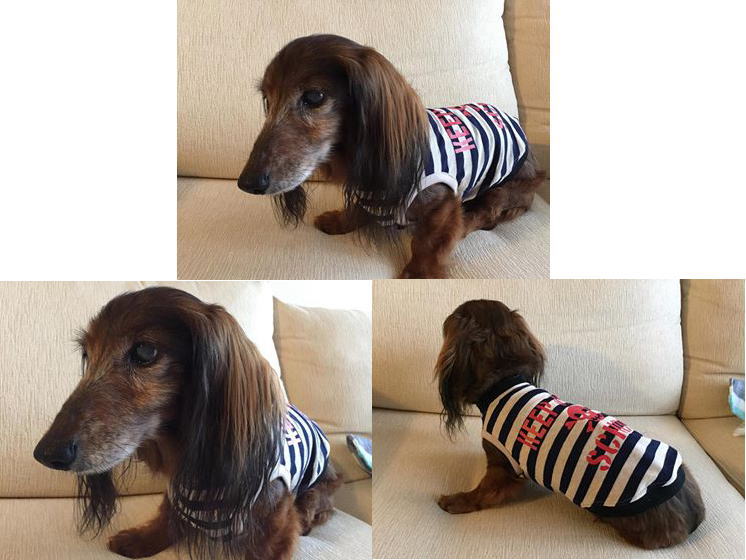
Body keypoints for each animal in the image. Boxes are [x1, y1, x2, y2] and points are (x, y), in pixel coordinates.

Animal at [33, 287, 341, 560]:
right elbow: (167, 515)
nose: (46, 453)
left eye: (145, 351)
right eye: (87, 354)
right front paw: (142, 539)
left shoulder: (274, 521)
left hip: (321, 485)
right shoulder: (175, 492)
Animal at [237, 34, 545, 279]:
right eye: (267, 99)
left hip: (503, 187)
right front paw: (339, 221)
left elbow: (427, 242)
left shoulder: (443, 199)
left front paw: (419, 273)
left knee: (486, 213)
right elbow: (356, 208)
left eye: (314, 96)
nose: (247, 183)